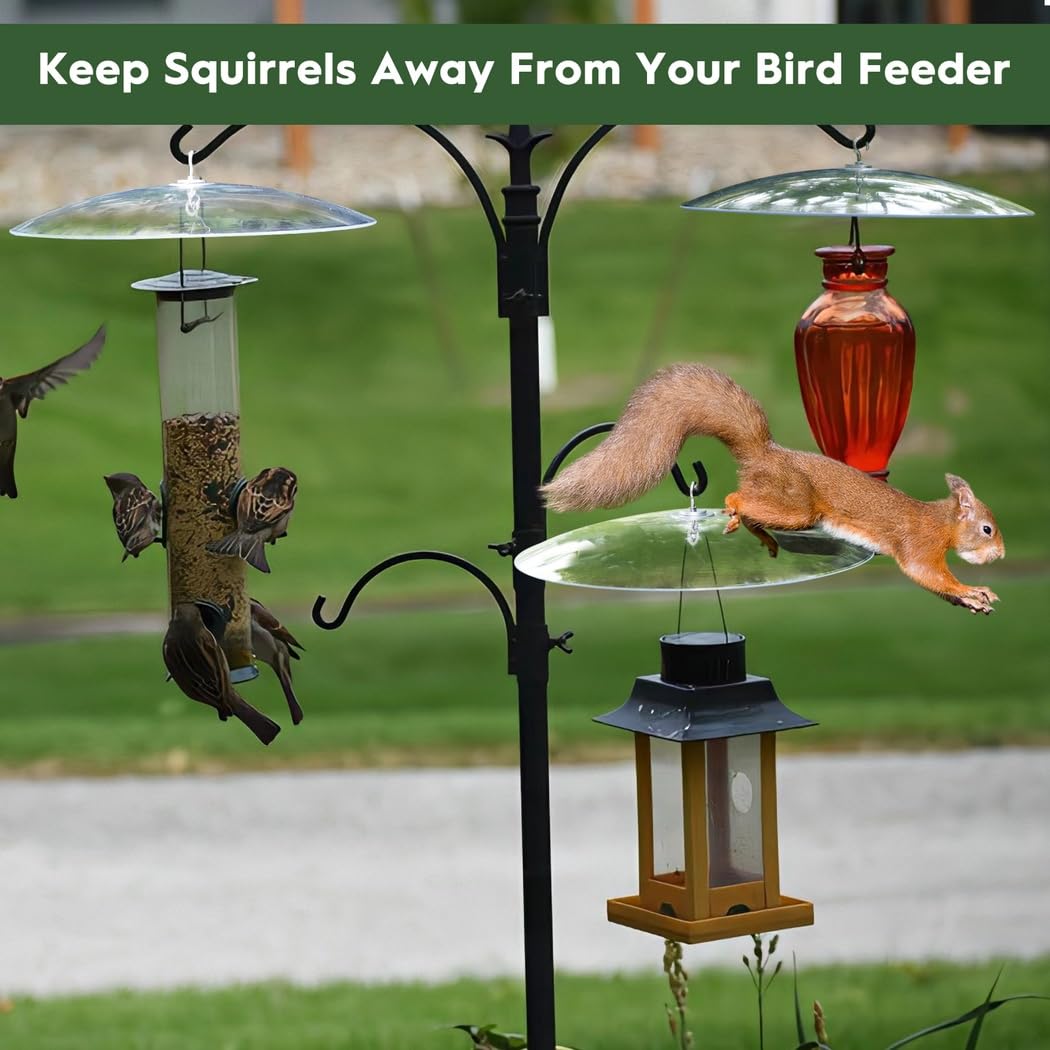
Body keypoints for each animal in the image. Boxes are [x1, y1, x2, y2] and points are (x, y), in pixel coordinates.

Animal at [541, 363, 1004, 615]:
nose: (1000, 555)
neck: (940, 521)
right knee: (739, 498)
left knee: (752, 510)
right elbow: (928, 574)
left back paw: (760, 535)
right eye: (987, 529)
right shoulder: (920, 545)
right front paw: (968, 589)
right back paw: (734, 510)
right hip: (795, 505)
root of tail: (763, 455)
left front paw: (974, 598)